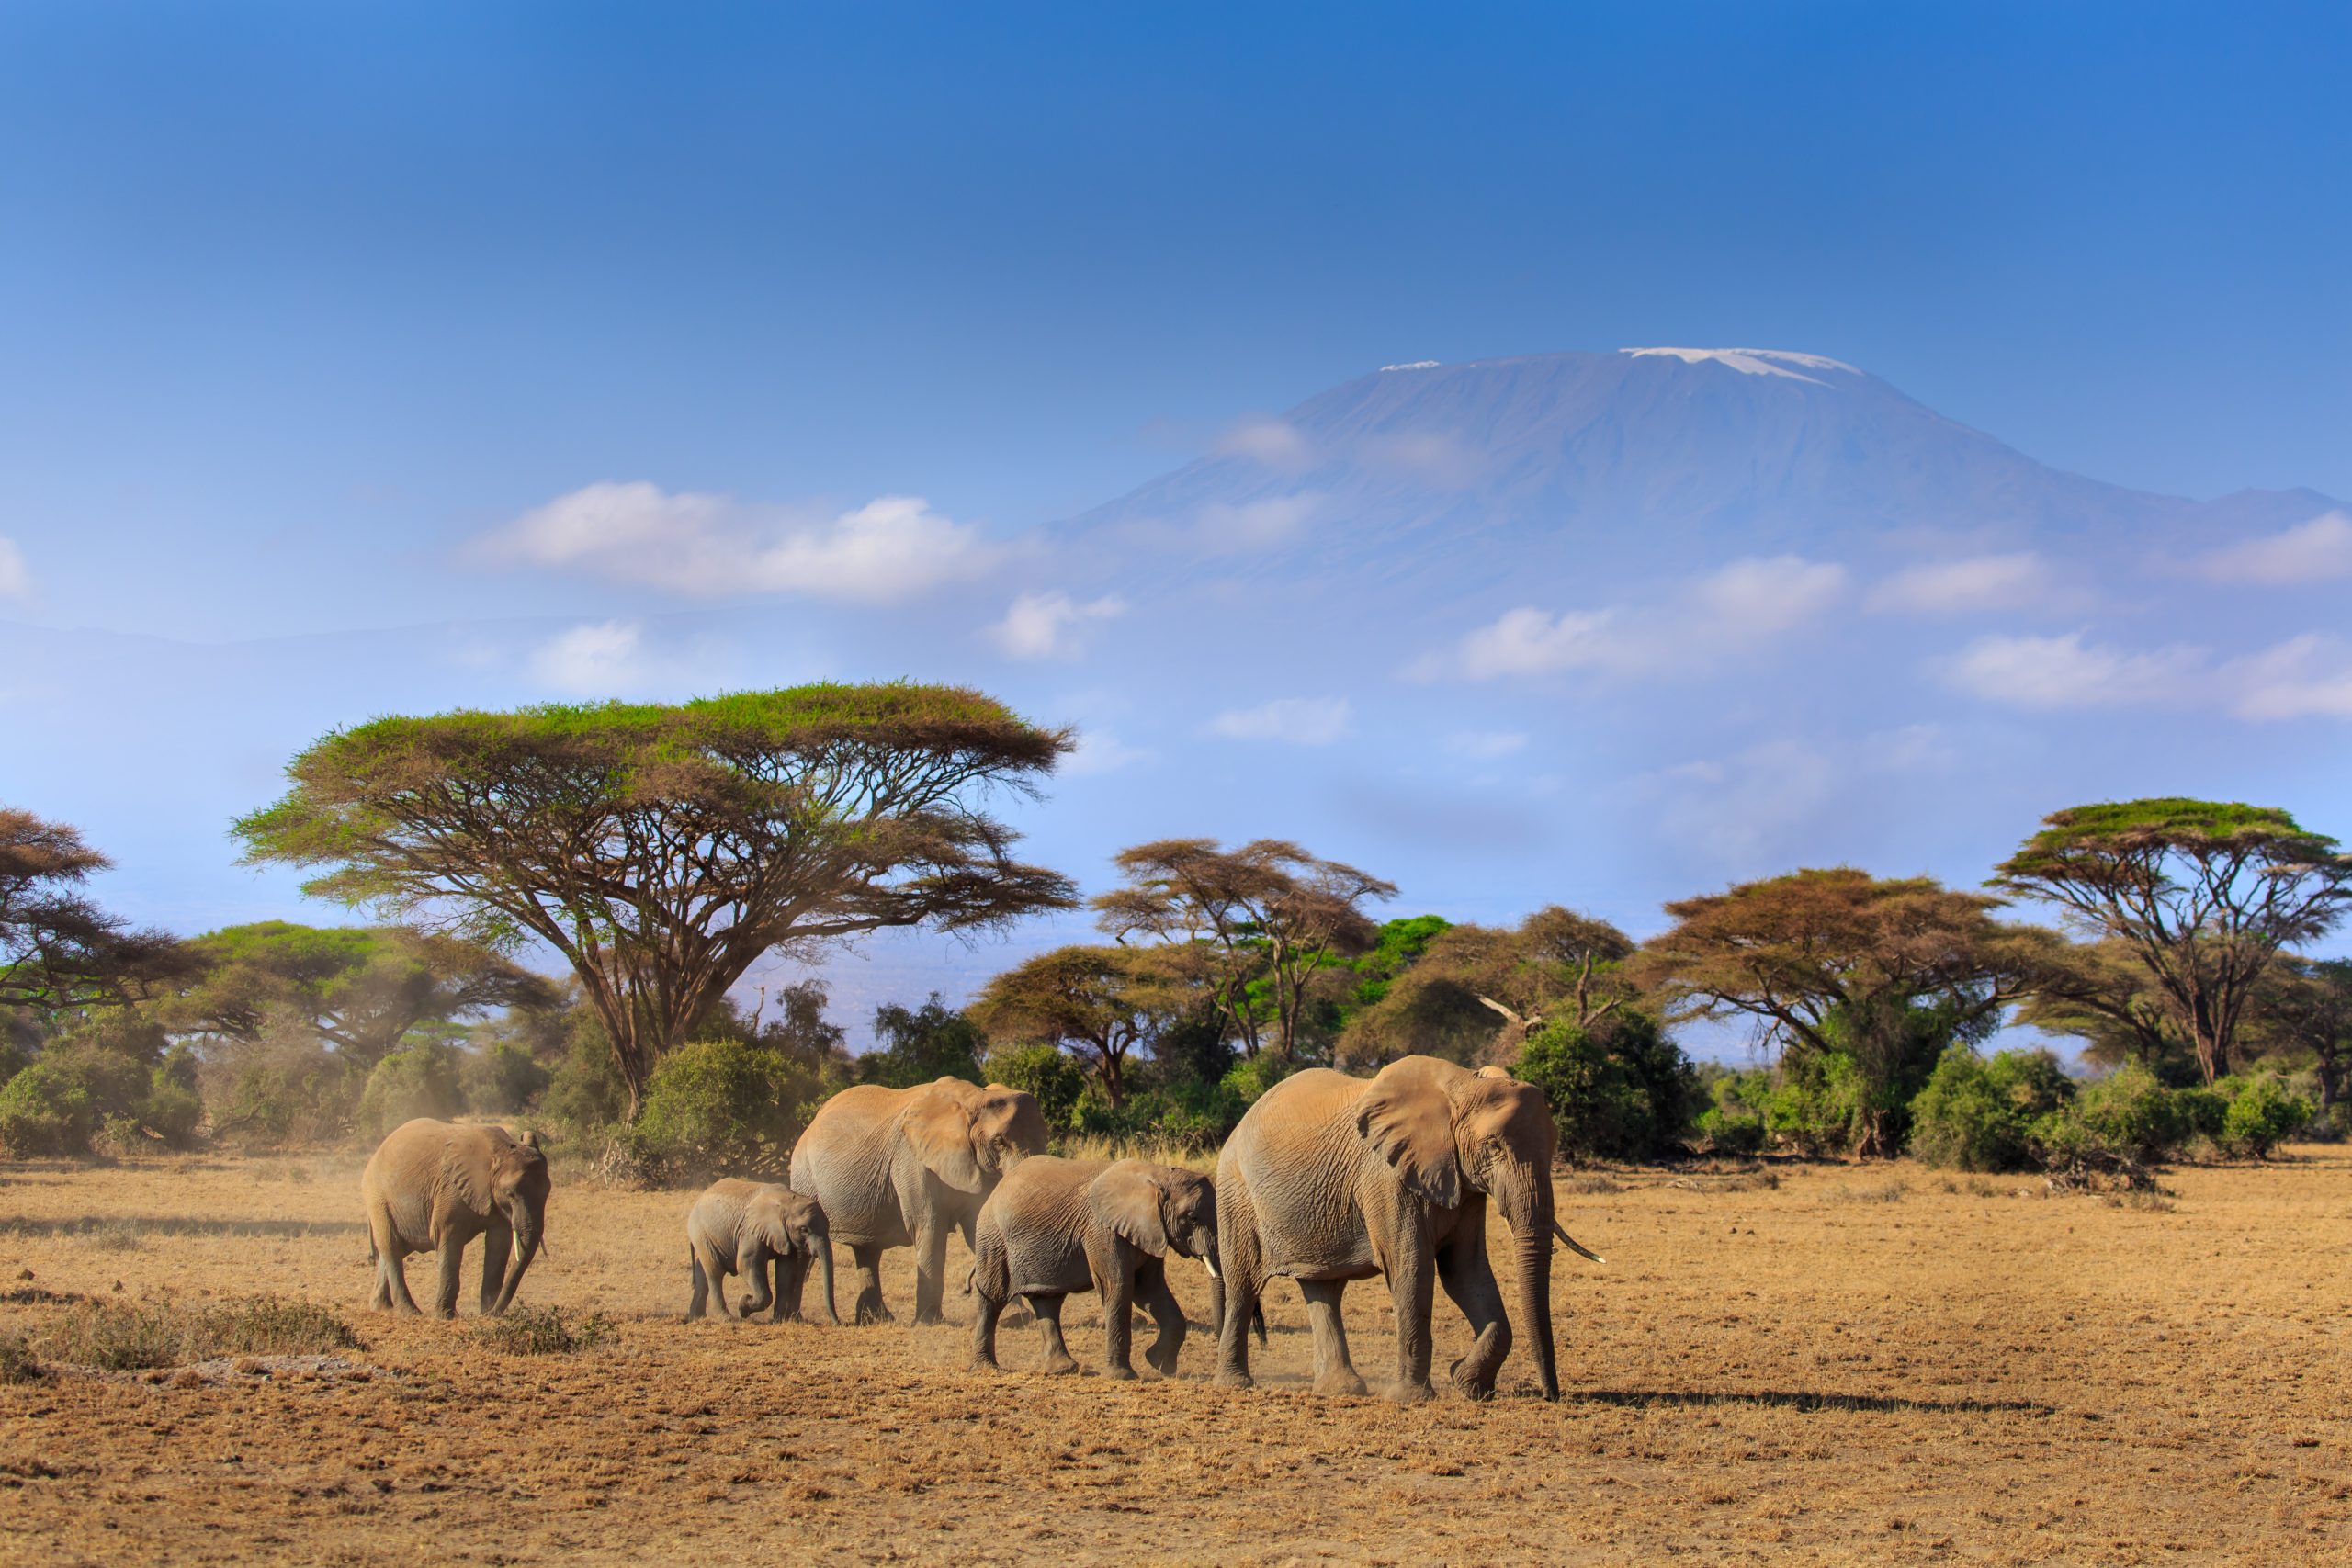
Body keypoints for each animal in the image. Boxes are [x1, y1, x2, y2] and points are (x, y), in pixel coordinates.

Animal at [361, 1119, 550, 1317]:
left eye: (547, 1193)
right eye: (511, 1194)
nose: (489, 1313)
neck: (499, 1151)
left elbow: (498, 1244)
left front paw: (487, 1311)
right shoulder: (450, 1190)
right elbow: (448, 1238)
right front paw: (446, 1316)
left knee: (395, 1249)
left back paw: (383, 1308)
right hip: (378, 1198)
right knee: (391, 1246)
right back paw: (409, 1313)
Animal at [686, 1178, 840, 1324]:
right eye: (804, 1230)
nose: (838, 1323)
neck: (788, 1200)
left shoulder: (785, 1236)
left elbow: (786, 1270)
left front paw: (778, 1321)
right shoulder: (750, 1230)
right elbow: (746, 1264)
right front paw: (742, 1307)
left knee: (702, 1274)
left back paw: (697, 1317)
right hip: (700, 1232)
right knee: (714, 1272)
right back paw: (726, 1319)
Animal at [789, 1076, 1050, 1325]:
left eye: (1046, 1139)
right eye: (998, 1142)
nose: (965, 1289)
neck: (974, 1098)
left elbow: (977, 1228)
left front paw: (1017, 1319)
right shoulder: (912, 1161)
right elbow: (929, 1226)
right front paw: (928, 1323)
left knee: (868, 1250)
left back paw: (878, 1320)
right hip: (804, 1177)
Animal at [968, 1156, 1218, 1379]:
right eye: (1192, 1217)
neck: (1158, 1175)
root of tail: (997, 1188)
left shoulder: (1150, 1232)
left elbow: (1150, 1291)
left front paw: (1160, 1365)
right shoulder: (1102, 1231)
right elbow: (1117, 1288)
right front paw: (1122, 1376)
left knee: (1047, 1301)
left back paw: (1063, 1369)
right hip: (993, 1239)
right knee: (993, 1298)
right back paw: (987, 1368)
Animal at [1214, 1057, 1603, 1403]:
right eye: (1493, 1146)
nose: (1552, 1396)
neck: (1462, 1086)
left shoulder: (1462, 1183)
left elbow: (1466, 1271)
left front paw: (1467, 1383)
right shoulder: (1387, 1179)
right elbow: (1412, 1269)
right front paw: (1412, 1397)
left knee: (1323, 1289)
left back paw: (1340, 1390)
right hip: (1235, 1193)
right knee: (1244, 1284)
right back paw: (1236, 1384)